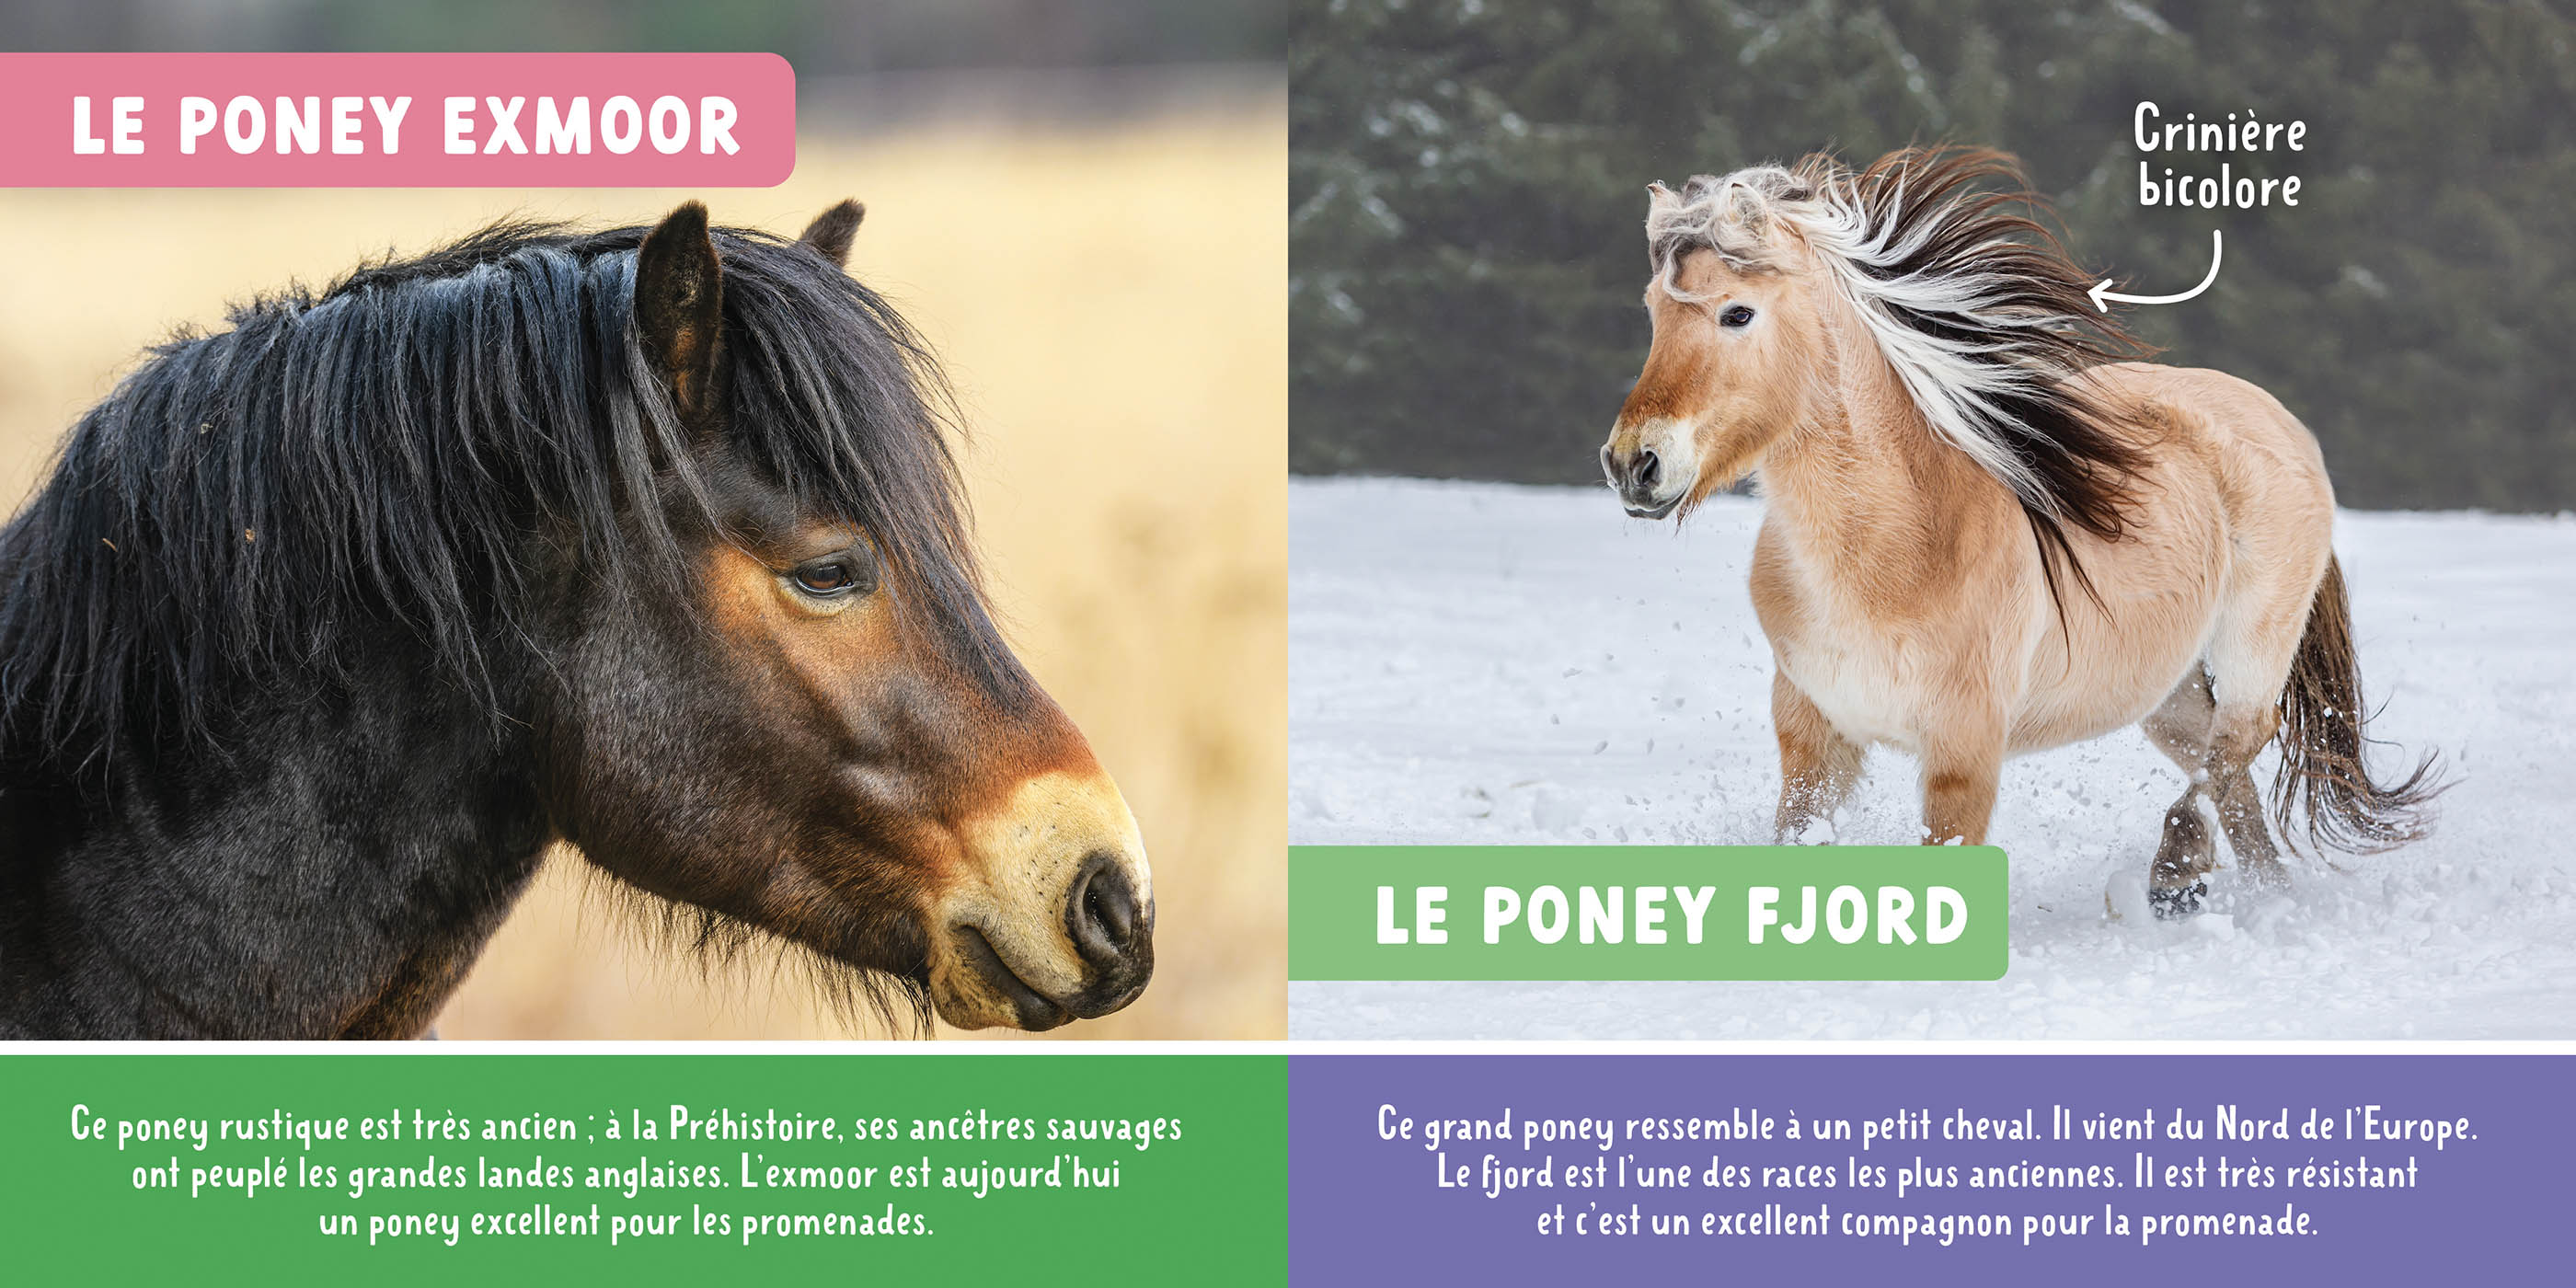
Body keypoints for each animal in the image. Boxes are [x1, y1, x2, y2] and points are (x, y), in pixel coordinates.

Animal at [1599, 146, 2440, 918]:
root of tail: (2281, 420)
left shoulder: (1964, 749)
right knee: (2230, 781)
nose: (1633, 463)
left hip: (2250, 648)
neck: (1892, 547)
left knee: (2238, 741)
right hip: (2161, 690)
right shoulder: (1812, 738)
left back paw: (2175, 872)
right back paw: (2253, 897)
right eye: (1653, 312)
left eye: (1737, 312)